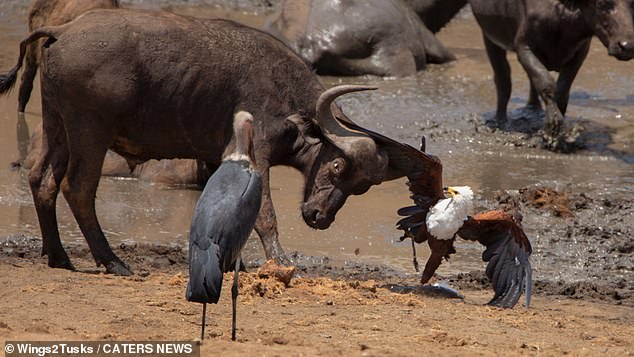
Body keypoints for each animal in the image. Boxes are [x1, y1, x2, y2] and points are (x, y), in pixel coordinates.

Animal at [0, 8, 440, 276]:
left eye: (361, 186)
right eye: (336, 165)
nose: (319, 217)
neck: (286, 97)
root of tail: (64, 30)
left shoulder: (216, 159)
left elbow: (221, 209)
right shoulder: (258, 155)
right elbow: (264, 214)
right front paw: (280, 262)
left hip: (57, 126)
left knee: (41, 180)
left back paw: (59, 256)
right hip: (89, 132)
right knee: (78, 189)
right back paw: (113, 262)